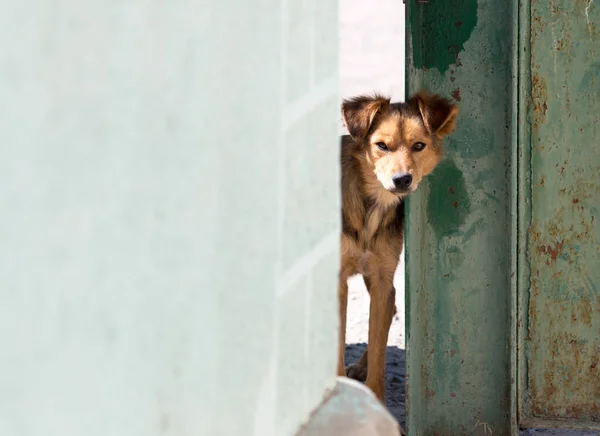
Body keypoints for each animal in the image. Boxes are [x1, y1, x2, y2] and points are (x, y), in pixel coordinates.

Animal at [338, 90, 460, 404]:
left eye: (419, 146)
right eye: (381, 145)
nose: (402, 179)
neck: (370, 208)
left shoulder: (382, 278)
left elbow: (379, 354)